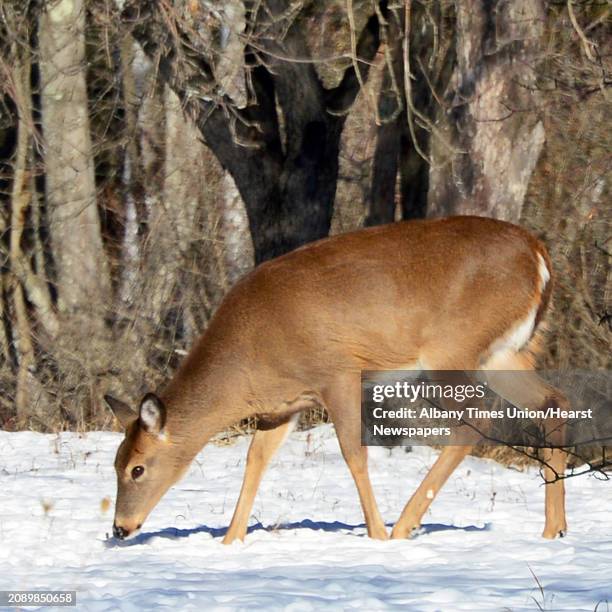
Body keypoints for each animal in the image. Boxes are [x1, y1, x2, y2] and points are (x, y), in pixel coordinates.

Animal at [106, 218, 568, 544]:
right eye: (115, 463)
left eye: (136, 469)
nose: (119, 528)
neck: (250, 359)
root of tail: (539, 255)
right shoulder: (284, 406)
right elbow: (255, 460)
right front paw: (230, 540)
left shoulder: (338, 374)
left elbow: (353, 454)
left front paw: (376, 534)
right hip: (502, 353)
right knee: (554, 401)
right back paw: (555, 529)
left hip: (452, 351)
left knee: (477, 419)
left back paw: (404, 525)